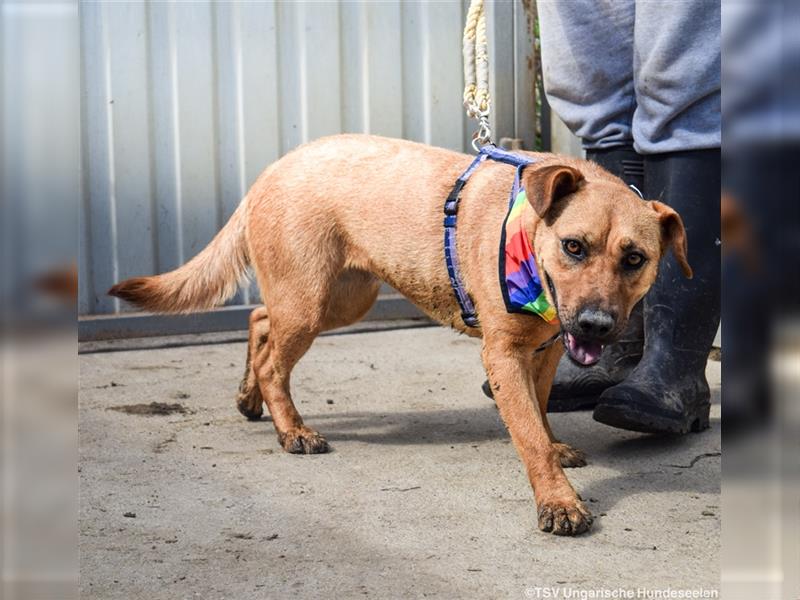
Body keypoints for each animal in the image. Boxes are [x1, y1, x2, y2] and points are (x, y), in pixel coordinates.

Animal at [109, 135, 692, 536]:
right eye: (574, 246)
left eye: (635, 259)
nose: (596, 325)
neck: (528, 230)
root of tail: (274, 168)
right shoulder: (504, 354)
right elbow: (526, 430)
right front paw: (559, 501)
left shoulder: (546, 348)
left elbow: (540, 410)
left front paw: (553, 447)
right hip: (310, 302)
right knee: (275, 358)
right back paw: (291, 429)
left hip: (339, 300)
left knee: (259, 322)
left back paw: (252, 400)